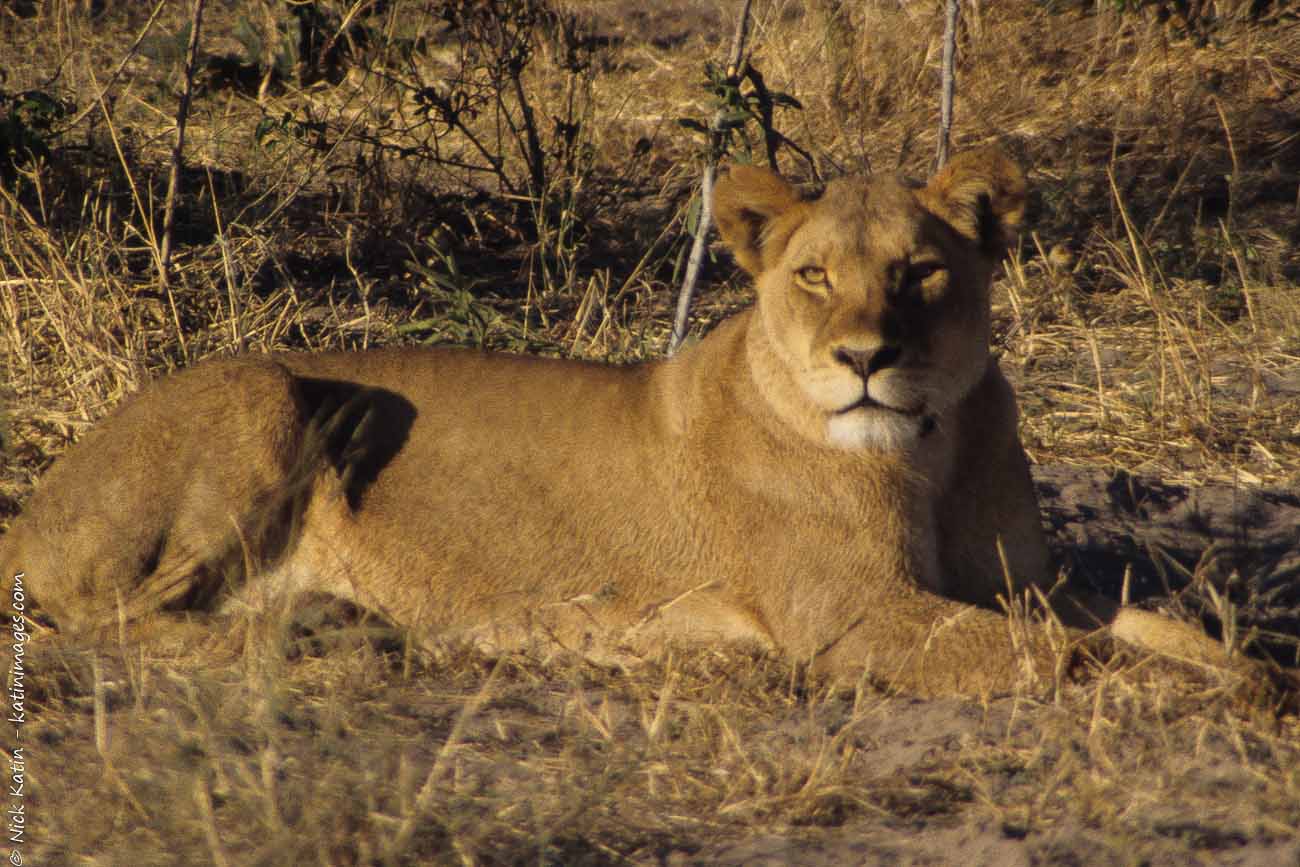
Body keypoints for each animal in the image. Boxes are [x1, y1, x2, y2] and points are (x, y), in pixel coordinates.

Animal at [0, 148, 1242, 697]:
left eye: (920, 273)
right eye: (812, 276)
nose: (864, 359)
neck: (929, 446)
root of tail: (33, 506)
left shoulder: (1016, 580)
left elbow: (1148, 621)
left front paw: (1248, 672)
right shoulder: (853, 619)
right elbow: (1073, 656)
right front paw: (1207, 699)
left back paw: (331, 621)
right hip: (267, 392)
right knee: (108, 624)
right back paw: (317, 638)